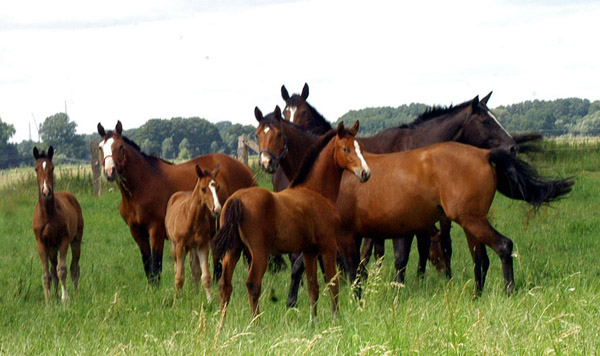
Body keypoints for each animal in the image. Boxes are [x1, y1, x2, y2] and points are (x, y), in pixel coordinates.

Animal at [32, 146, 84, 302]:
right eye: (36, 169)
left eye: (52, 167)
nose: (46, 191)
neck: (48, 215)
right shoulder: (41, 244)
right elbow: (46, 274)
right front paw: (48, 301)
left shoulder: (64, 241)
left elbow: (62, 270)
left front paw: (64, 298)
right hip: (52, 248)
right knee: (53, 269)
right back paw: (54, 294)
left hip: (75, 240)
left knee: (74, 267)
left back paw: (75, 292)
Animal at [96, 121, 255, 286]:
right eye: (100, 147)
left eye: (120, 146)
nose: (109, 171)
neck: (142, 185)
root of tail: (246, 170)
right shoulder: (137, 232)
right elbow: (147, 266)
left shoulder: (156, 231)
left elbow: (156, 266)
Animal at [166, 164, 223, 300]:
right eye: (203, 189)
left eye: (218, 187)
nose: (217, 209)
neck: (191, 218)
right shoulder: (180, 246)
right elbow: (179, 276)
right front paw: (177, 300)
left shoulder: (202, 245)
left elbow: (205, 275)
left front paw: (209, 300)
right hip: (173, 245)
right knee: (177, 267)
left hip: (193, 247)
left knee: (195, 269)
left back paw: (197, 293)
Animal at [211, 116, 370, 320]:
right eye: (346, 149)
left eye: (360, 148)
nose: (365, 173)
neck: (314, 190)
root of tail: (236, 199)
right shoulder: (327, 245)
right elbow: (332, 284)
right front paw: (336, 318)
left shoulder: (310, 251)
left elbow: (313, 288)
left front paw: (313, 321)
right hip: (258, 252)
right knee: (253, 284)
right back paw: (256, 324)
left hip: (233, 249)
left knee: (225, 285)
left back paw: (221, 325)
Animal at [255, 105, 576, 298]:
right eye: (258, 134)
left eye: (279, 133)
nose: (267, 163)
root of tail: (485, 154)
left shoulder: (348, 234)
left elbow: (356, 269)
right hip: (471, 223)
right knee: (481, 259)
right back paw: (476, 296)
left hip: (470, 221)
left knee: (503, 247)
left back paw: (508, 292)